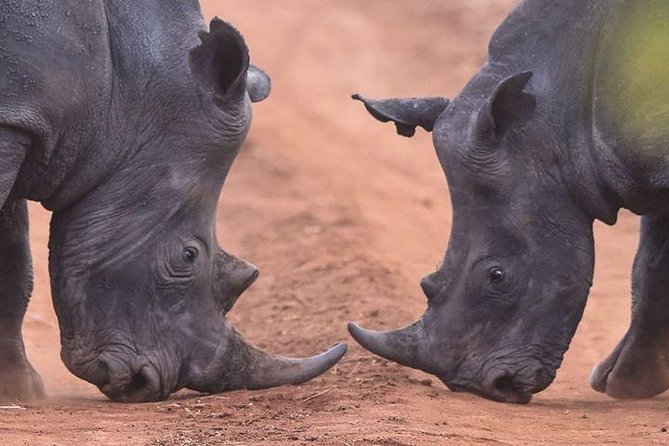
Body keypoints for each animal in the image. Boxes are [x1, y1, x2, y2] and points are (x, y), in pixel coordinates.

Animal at [0, 1, 346, 403]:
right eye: (188, 255)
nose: (146, 384)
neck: (125, 90)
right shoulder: (14, 118)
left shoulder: (24, 124)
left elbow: (14, 262)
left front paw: (20, 389)